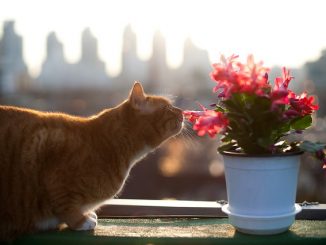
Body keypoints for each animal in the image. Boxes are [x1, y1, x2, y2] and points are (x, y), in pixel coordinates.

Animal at [0, 82, 183, 239]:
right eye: (168, 108)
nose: (182, 111)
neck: (108, 143)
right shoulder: (54, 174)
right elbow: (64, 204)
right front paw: (80, 221)